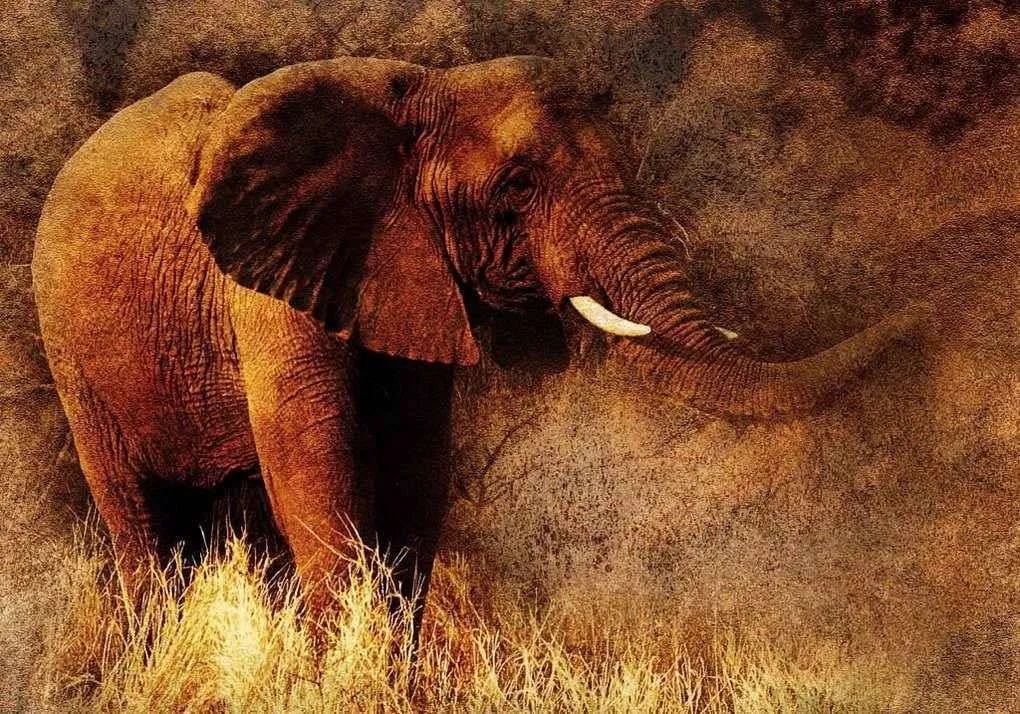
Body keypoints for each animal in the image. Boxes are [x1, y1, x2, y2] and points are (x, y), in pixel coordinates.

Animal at [32, 56, 920, 627]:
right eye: (518, 187)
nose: (925, 308)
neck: (419, 88)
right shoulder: (266, 281)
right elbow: (317, 466)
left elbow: (415, 468)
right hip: (69, 348)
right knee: (143, 523)